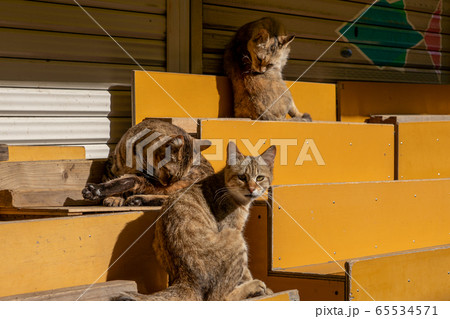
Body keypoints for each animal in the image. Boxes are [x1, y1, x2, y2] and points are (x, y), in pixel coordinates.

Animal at [81, 119, 214, 208]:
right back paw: (137, 199)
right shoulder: (112, 164)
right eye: (169, 174)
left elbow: (127, 180)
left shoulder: (148, 178)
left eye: (177, 177)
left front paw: (100, 192)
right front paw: (114, 197)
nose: (167, 184)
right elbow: (111, 176)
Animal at [114, 142, 276, 302]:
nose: (252, 189)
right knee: (218, 297)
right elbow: (246, 272)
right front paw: (262, 288)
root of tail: (186, 278)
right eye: (242, 177)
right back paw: (254, 287)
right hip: (236, 239)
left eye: (260, 178)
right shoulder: (232, 228)